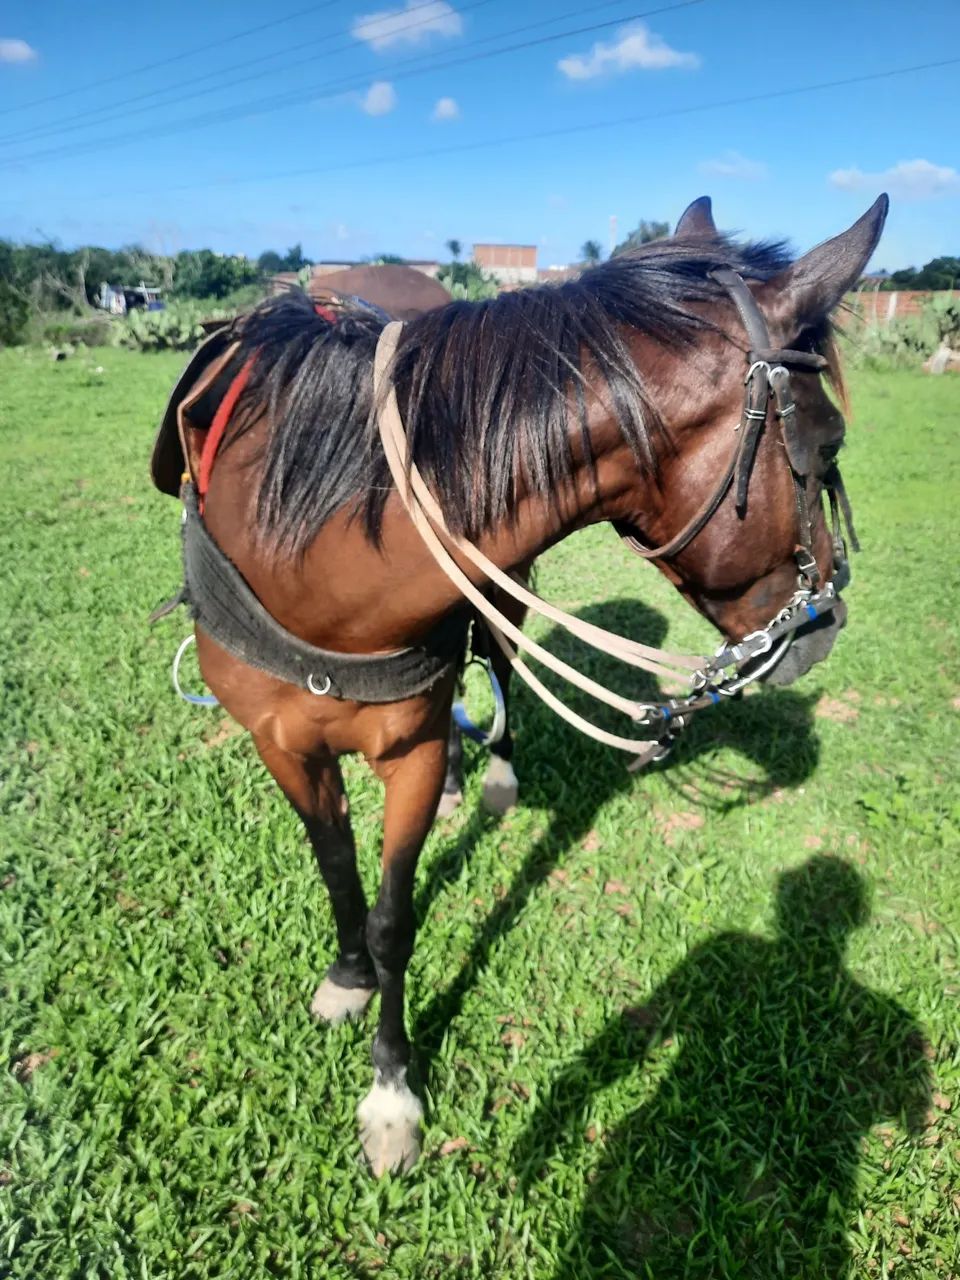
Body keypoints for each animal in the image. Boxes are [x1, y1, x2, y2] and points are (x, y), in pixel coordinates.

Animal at [150, 195, 888, 1175]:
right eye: (829, 443)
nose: (827, 621)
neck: (317, 557)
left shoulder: (413, 743)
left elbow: (394, 917)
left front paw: (391, 1091)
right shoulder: (282, 743)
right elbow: (339, 870)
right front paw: (347, 977)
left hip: (501, 581)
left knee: (493, 660)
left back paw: (489, 774)